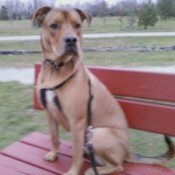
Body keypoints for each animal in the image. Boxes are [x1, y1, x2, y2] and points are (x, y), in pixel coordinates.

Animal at [32, 6, 174, 175]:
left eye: (77, 25)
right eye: (54, 25)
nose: (71, 40)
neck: (56, 68)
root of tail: (126, 151)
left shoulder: (77, 122)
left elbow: (76, 157)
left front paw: (73, 171)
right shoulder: (51, 114)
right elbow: (54, 138)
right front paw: (54, 154)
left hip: (97, 133)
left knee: (118, 166)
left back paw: (93, 170)